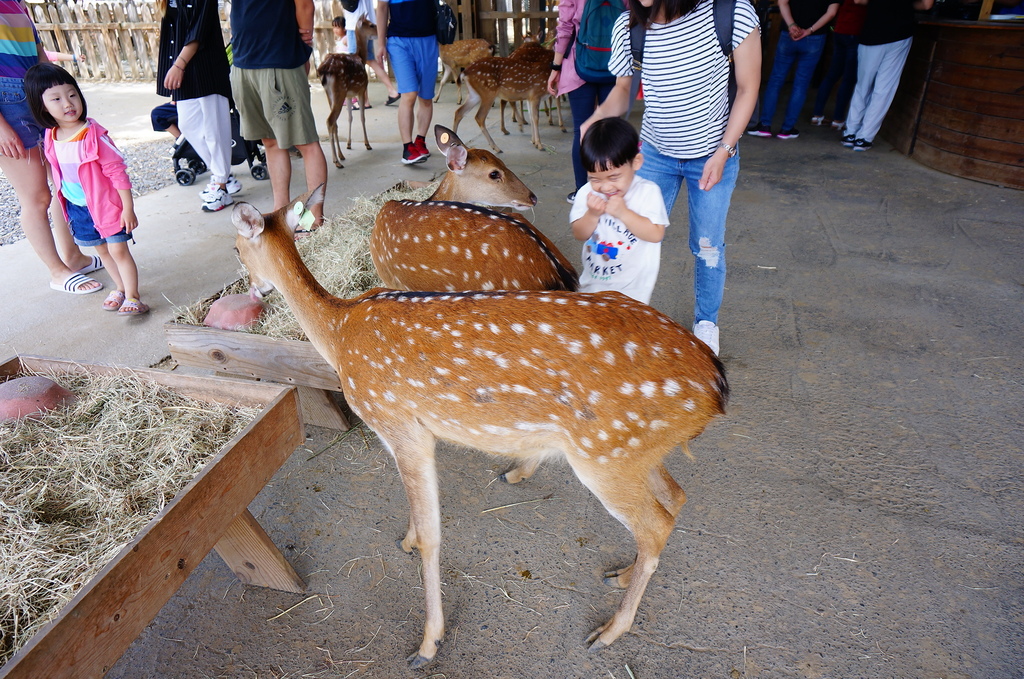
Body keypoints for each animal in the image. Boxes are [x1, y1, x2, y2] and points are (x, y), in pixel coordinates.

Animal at [232, 183, 729, 671]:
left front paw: (427, 643)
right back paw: (621, 573)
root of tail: (716, 387)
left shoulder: (398, 423)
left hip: (605, 453)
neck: (338, 333)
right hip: (634, 449)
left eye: (237, 249)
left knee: (655, 523)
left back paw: (608, 631)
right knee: (674, 498)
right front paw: (407, 541)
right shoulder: (417, 433)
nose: (255, 291)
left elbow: (433, 536)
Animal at [315, 18, 376, 168]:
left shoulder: (349, 95)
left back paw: (341, 156)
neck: (361, 57)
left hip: (331, 94)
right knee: (330, 120)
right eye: (371, 25)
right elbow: (362, 117)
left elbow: (350, 117)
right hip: (339, 91)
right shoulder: (361, 89)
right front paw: (367, 144)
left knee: (335, 123)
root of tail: (323, 69)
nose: (379, 31)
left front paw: (348, 144)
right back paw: (336, 161)